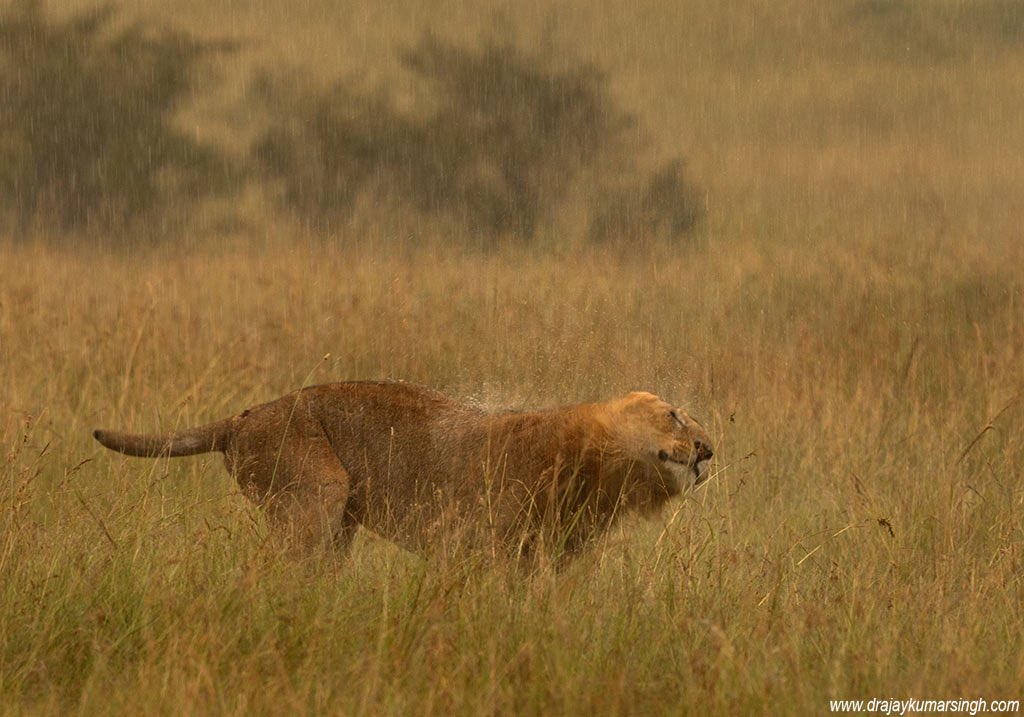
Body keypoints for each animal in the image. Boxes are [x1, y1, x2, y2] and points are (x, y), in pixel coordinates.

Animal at [93, 381, 713, 561]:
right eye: (675, 415)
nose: (709, 450)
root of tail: (245, 415)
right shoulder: (482, 544)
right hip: (316, 493)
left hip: (337, 526)